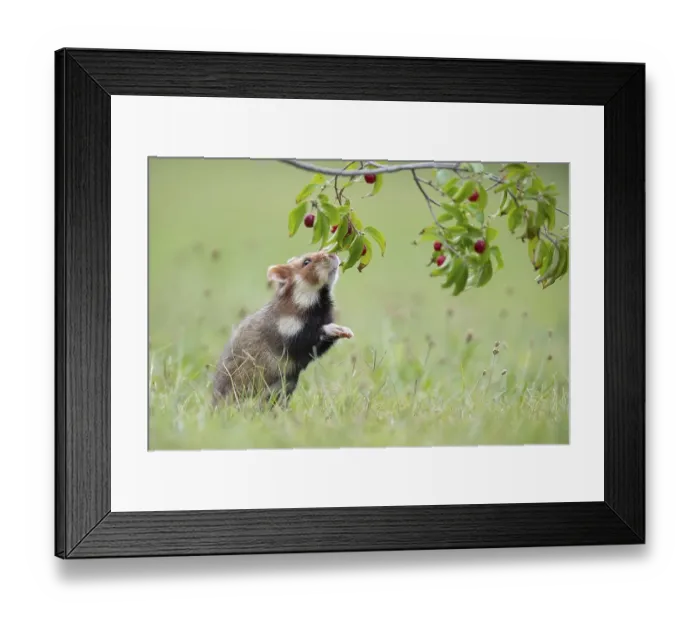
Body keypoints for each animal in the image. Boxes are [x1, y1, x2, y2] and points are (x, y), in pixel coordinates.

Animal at [212, 251, 354, 407]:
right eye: (306, 261)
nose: (333, 253)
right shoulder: (289, 335)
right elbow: (311, 336)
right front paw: (333, 328)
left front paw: (345, 330)